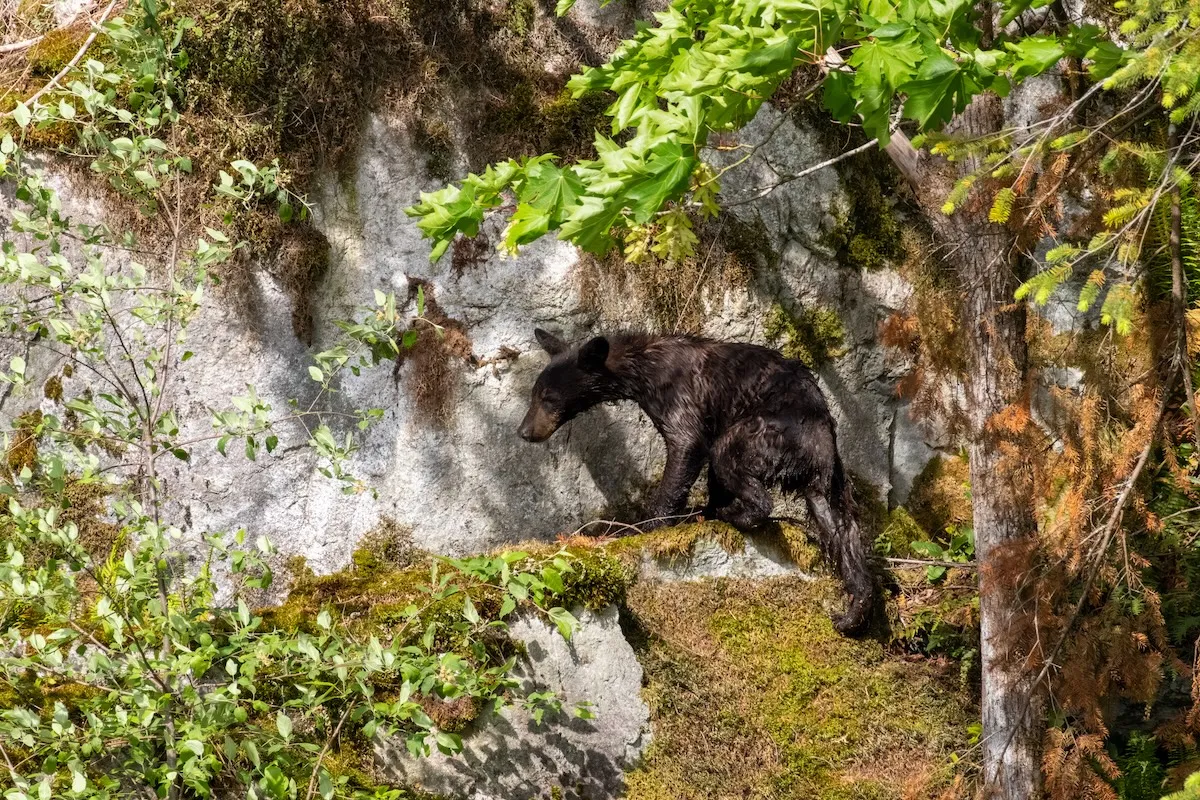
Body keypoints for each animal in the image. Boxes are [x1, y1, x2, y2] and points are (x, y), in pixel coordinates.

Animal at [517, 328, 874, 634]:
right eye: (534, 394)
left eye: (548, 397)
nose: (524, 431)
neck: (643, 367)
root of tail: (821, 439)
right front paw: (701, 510)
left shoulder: (679, 396)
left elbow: (686, 445)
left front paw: (646, 526)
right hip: (829, 479)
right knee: (843, 529)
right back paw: (852, 610)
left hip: (768, 432)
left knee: (728, 458)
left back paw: (735, 513)